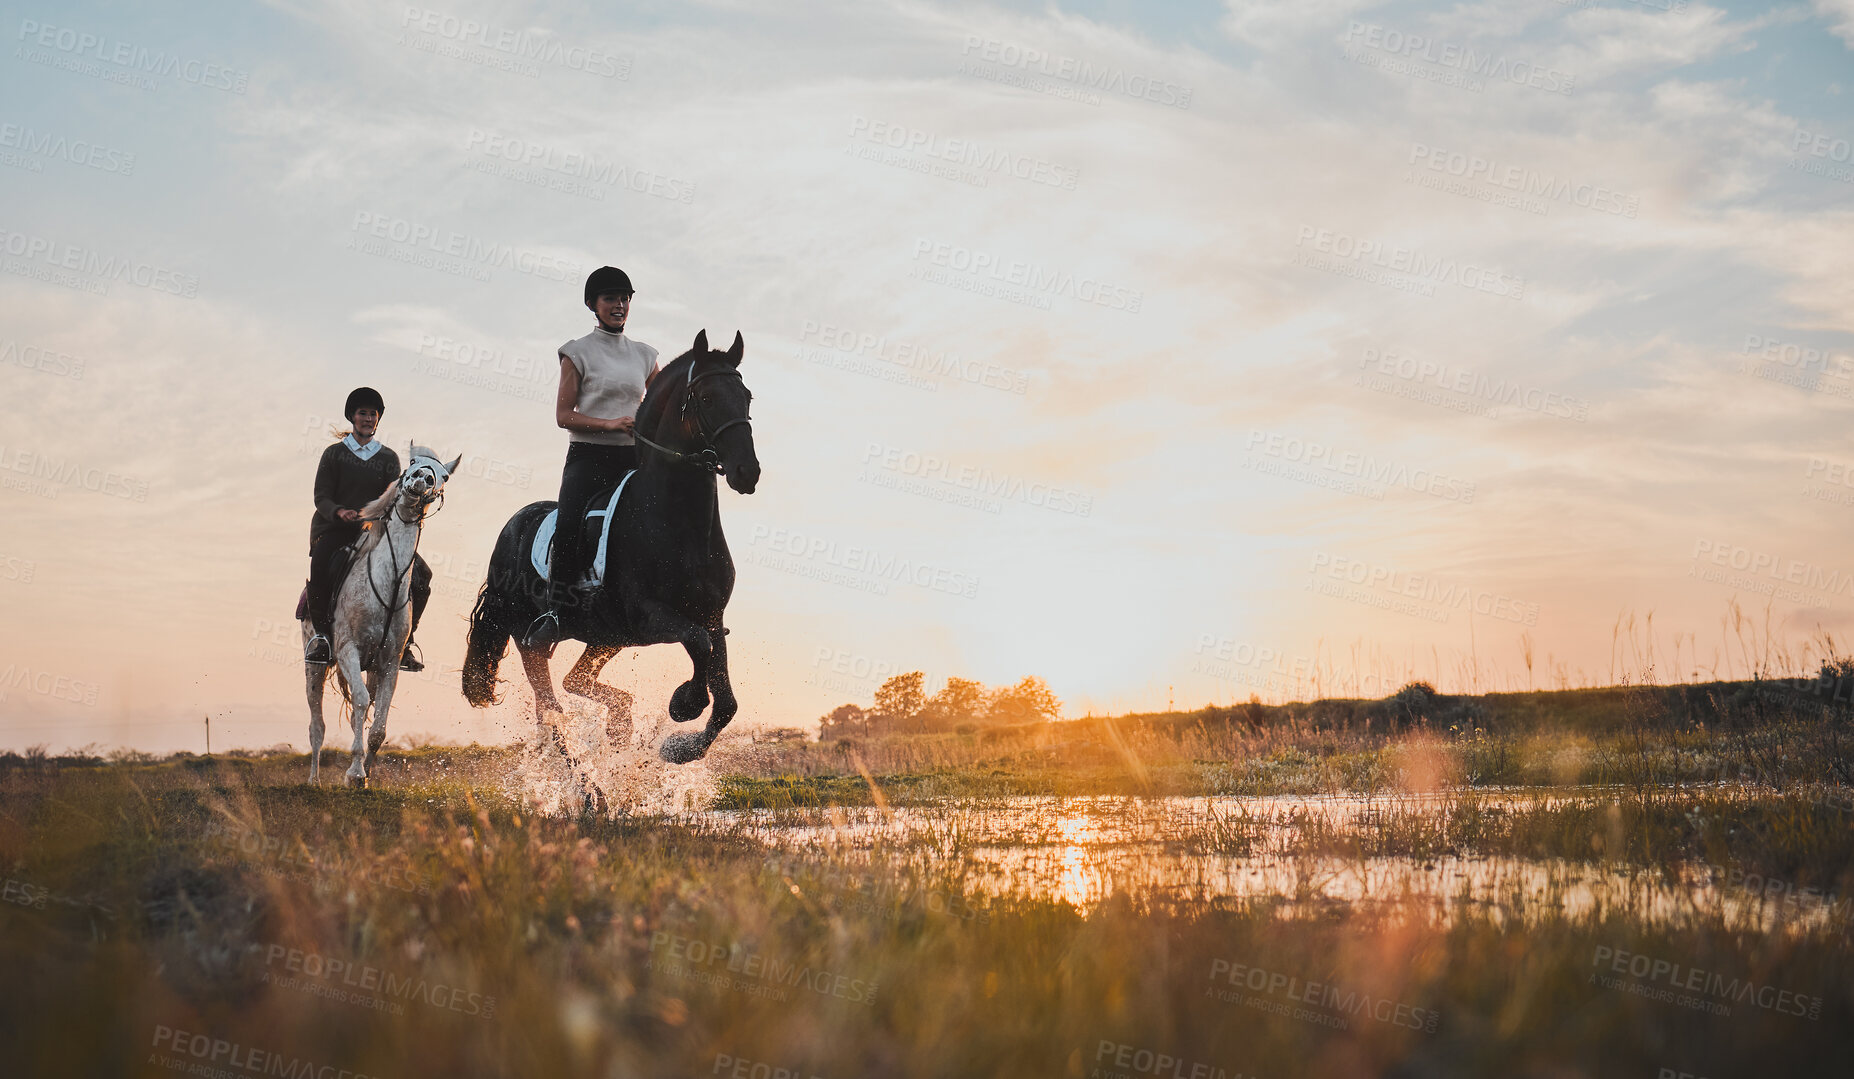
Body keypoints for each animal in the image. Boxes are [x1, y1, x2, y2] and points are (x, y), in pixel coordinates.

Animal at [304, 444, 459, 789]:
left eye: (443, 475)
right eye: (412, 462)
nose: (422, 478)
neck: (387, 581)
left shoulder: (389, 663)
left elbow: (378, 724)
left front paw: (366, 774)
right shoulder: (348, 651)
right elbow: (361, 704)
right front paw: (354, 772)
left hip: (370, 668)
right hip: (315, 668)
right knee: (317, 725)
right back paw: (314, 779)